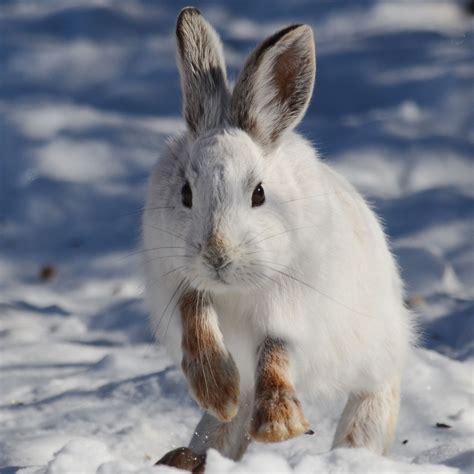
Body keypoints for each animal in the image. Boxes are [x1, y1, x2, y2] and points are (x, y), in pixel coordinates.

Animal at [143, 5, 414, 472]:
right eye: (186, 194)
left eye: (259, 194)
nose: (217, 255)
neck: (236, 287)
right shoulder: (181, 281)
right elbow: (196, 321)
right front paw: (218, 391)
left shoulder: (292, 301)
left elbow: (276, 351)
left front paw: (279, 425)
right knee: (223, 428)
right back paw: (191, 453)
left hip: (375, 355)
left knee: (374, 394)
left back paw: (354, 451)